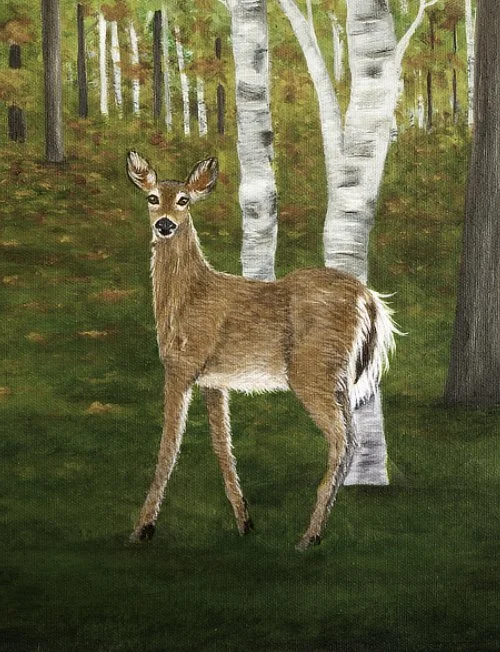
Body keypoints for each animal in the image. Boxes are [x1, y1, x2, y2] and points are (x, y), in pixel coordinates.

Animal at [126, 151, 397, 551]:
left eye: (184, 200)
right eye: (152, 197)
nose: (164, 225)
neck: (187, 297)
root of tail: (369, 299)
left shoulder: (182, 365)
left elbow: (168, 447)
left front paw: (142, 527)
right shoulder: (214, 380)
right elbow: (223, 447)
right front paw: (245, 522)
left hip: (312, 370)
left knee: (343, 441)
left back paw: (308, 536)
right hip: (339, 378)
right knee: (351, 437)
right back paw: (314, 530)